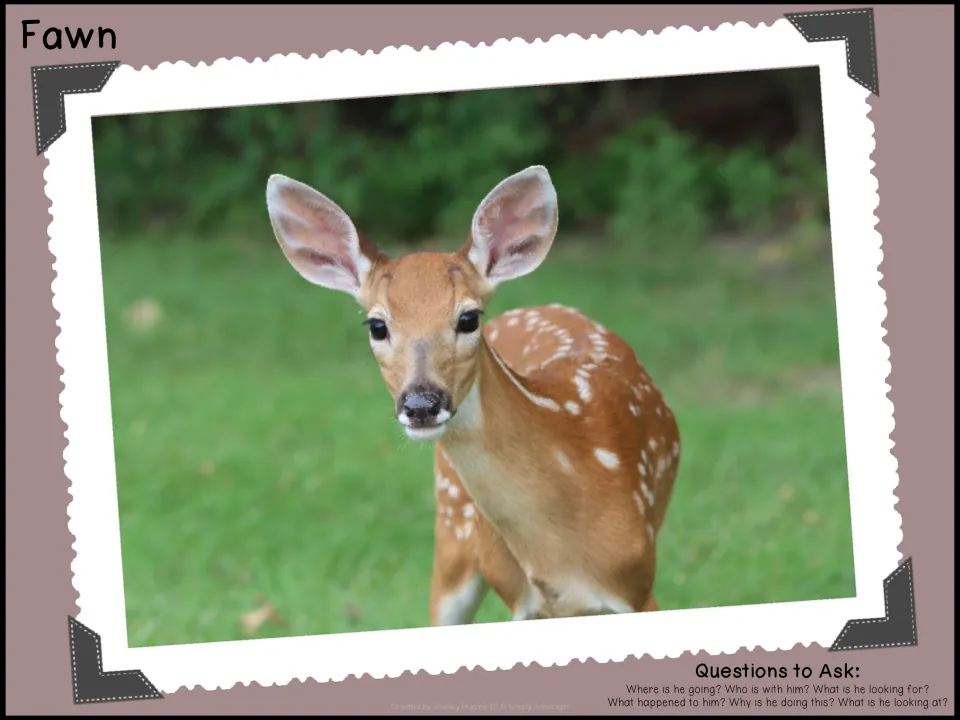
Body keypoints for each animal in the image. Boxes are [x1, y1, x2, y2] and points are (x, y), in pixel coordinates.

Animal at [265, 165, 681, 626]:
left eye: (468, 318)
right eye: (377, 325)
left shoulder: (638, 585)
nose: (421, 404)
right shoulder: (523, 603)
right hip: (453, 533)